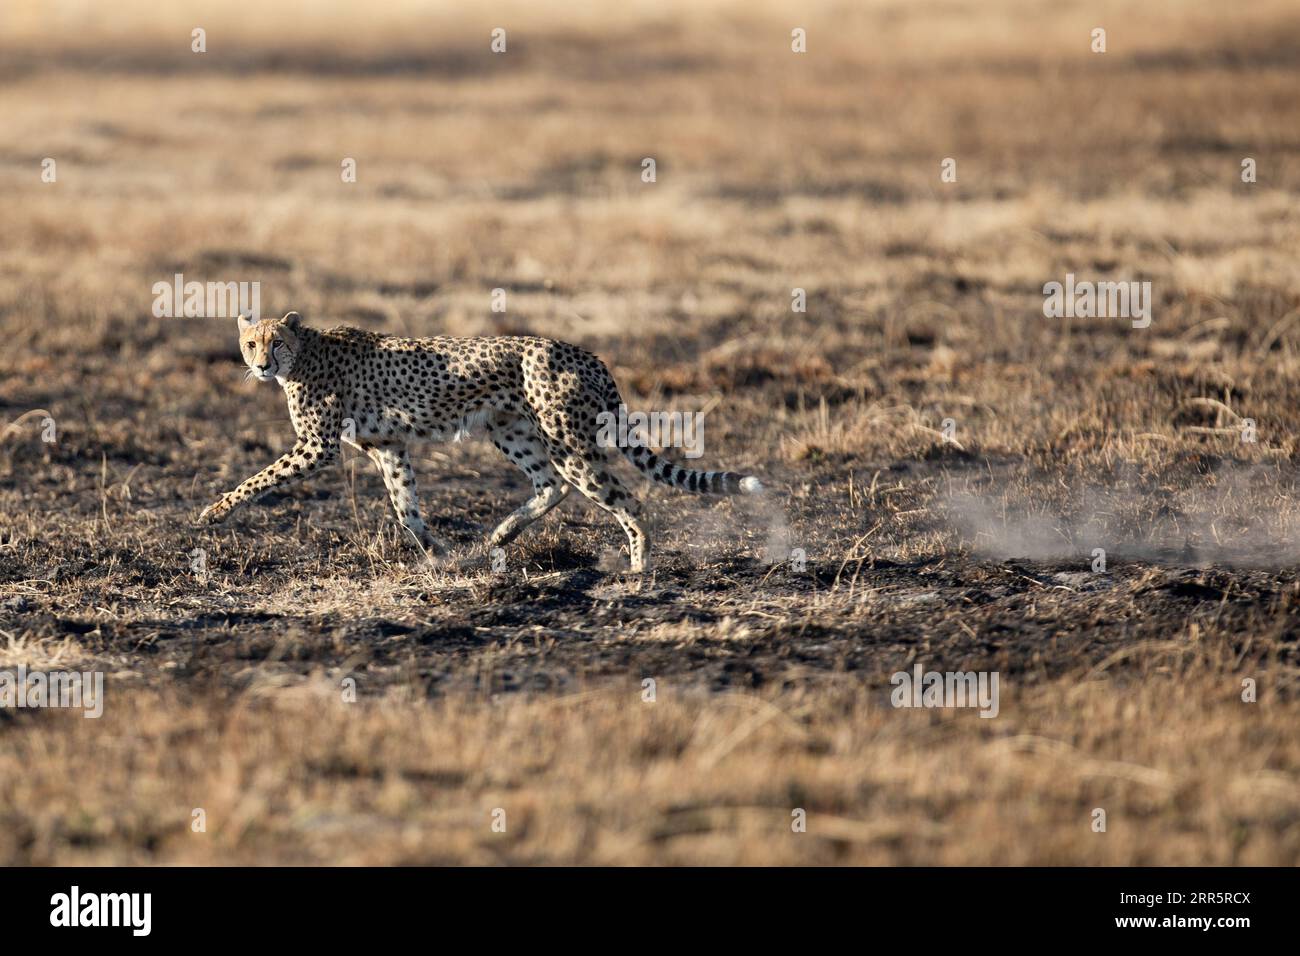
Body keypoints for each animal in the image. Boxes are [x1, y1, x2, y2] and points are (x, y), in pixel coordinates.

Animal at [193, 314, 759, 572]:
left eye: (276, 342)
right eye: (250, 342)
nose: (261, 365)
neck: (306, 351)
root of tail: (580, 350)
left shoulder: (317, 447)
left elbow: (258, 479)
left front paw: (214, 512)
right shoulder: (388, 446)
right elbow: (406, 508)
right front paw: (439, 555)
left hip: (565, 438)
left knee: (624, 496)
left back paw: (639, 567)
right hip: (511, 431)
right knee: (552, 485)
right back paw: (502, 535)